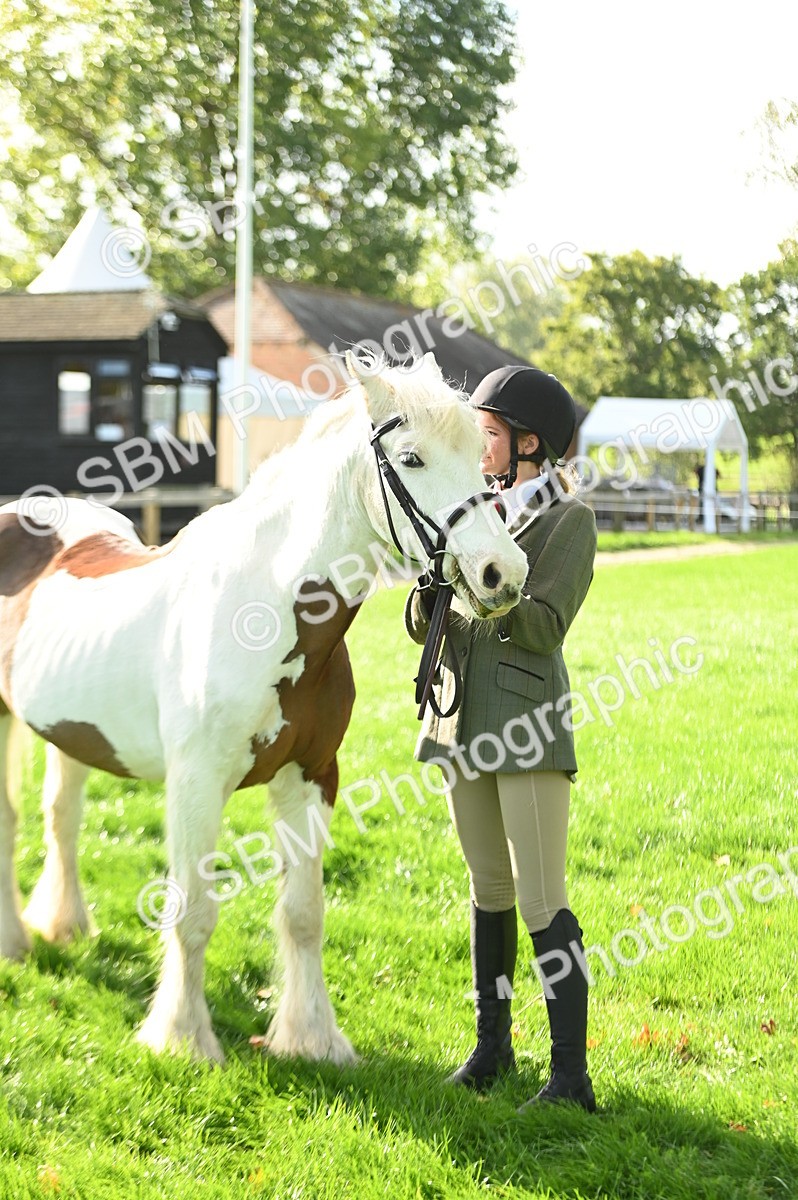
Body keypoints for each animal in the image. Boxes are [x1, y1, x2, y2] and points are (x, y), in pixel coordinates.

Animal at [0, 351, 528, 1064]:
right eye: (412, 458)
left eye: (481, 455)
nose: (505, 573)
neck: (262, 611)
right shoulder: (195, 787)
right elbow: (193, 915)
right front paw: (184, 1039)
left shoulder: (310, 777)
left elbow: (303, 915)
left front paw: (310, 1038)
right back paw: (16, 942)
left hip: (73, 732)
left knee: (61, 817)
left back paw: (62, 925)